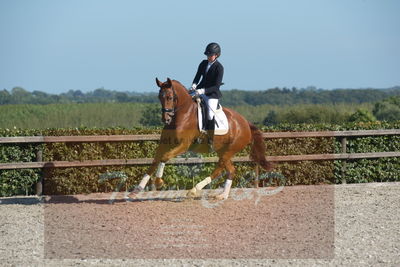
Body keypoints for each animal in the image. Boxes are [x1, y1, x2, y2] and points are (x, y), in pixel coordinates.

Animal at [130, 78, 272, 200]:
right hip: (223, 150)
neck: (182, 115)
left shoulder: (183, 145)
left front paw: (159, 181)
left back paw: (194, 190)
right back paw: (222, 195)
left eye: (170, 97)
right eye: (160, 97)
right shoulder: (164, 144)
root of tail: (245, 123)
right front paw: (137, 189)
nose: (166, 119)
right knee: (230, 170)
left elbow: (165, 157)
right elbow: (154, 161)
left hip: (230, 150)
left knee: (219, 168)